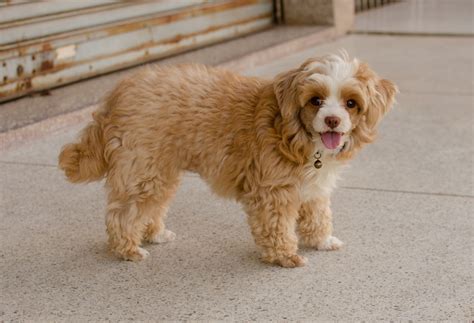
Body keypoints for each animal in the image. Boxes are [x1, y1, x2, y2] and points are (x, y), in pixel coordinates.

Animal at [58, 51, 396, 268]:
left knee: (149, 207)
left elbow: (317, 215)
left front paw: (321, 241)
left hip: (159, 171)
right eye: (316, 100)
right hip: (143, 170)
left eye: (351, 103)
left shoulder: (313, 188)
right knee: (124, 213)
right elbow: (277, 226)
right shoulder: (272, 192)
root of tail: (117, 92)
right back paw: (128, 249)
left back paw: (153, 235)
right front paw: (285, 257)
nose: (332, 121)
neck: (295, 132)